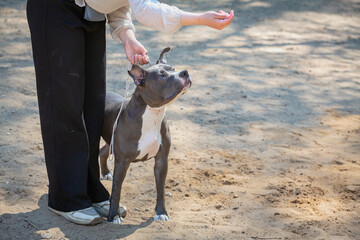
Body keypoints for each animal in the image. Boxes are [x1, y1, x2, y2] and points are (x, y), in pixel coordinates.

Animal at [98, 47, 191, 224]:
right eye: (161, 75)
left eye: (173, 69)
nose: (185, 72)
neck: (153, 115)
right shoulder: (122, 162)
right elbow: (116, 191)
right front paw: (114, 215)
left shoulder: (162, 159)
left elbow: (160, 189)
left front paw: (161, 212)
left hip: (110, 142)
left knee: (102, 152)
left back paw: (105, 172)